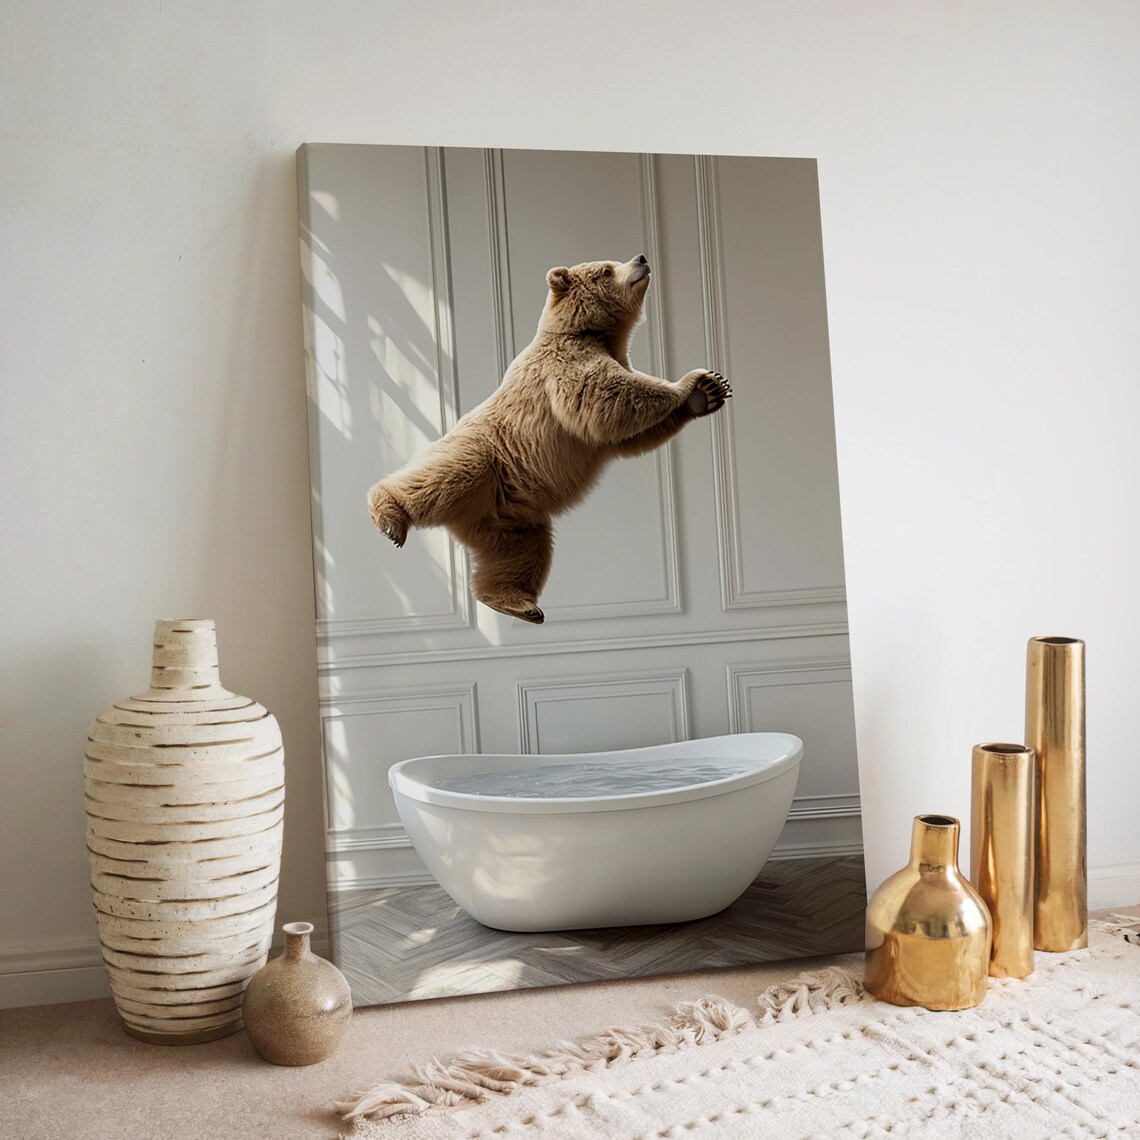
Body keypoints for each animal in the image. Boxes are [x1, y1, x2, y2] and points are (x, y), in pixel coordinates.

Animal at [367, 254, 732, 624]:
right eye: (607, 269)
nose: (641, 258)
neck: (592, 333)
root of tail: (467, 518)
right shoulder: (564, 363)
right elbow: (606, 395)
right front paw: (689, 382)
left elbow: (627, 434)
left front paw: (709, 392)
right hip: (483, 456)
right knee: (441, 478)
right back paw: (389, 518)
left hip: (512, 518)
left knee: (522, 552)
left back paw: (516, 603)